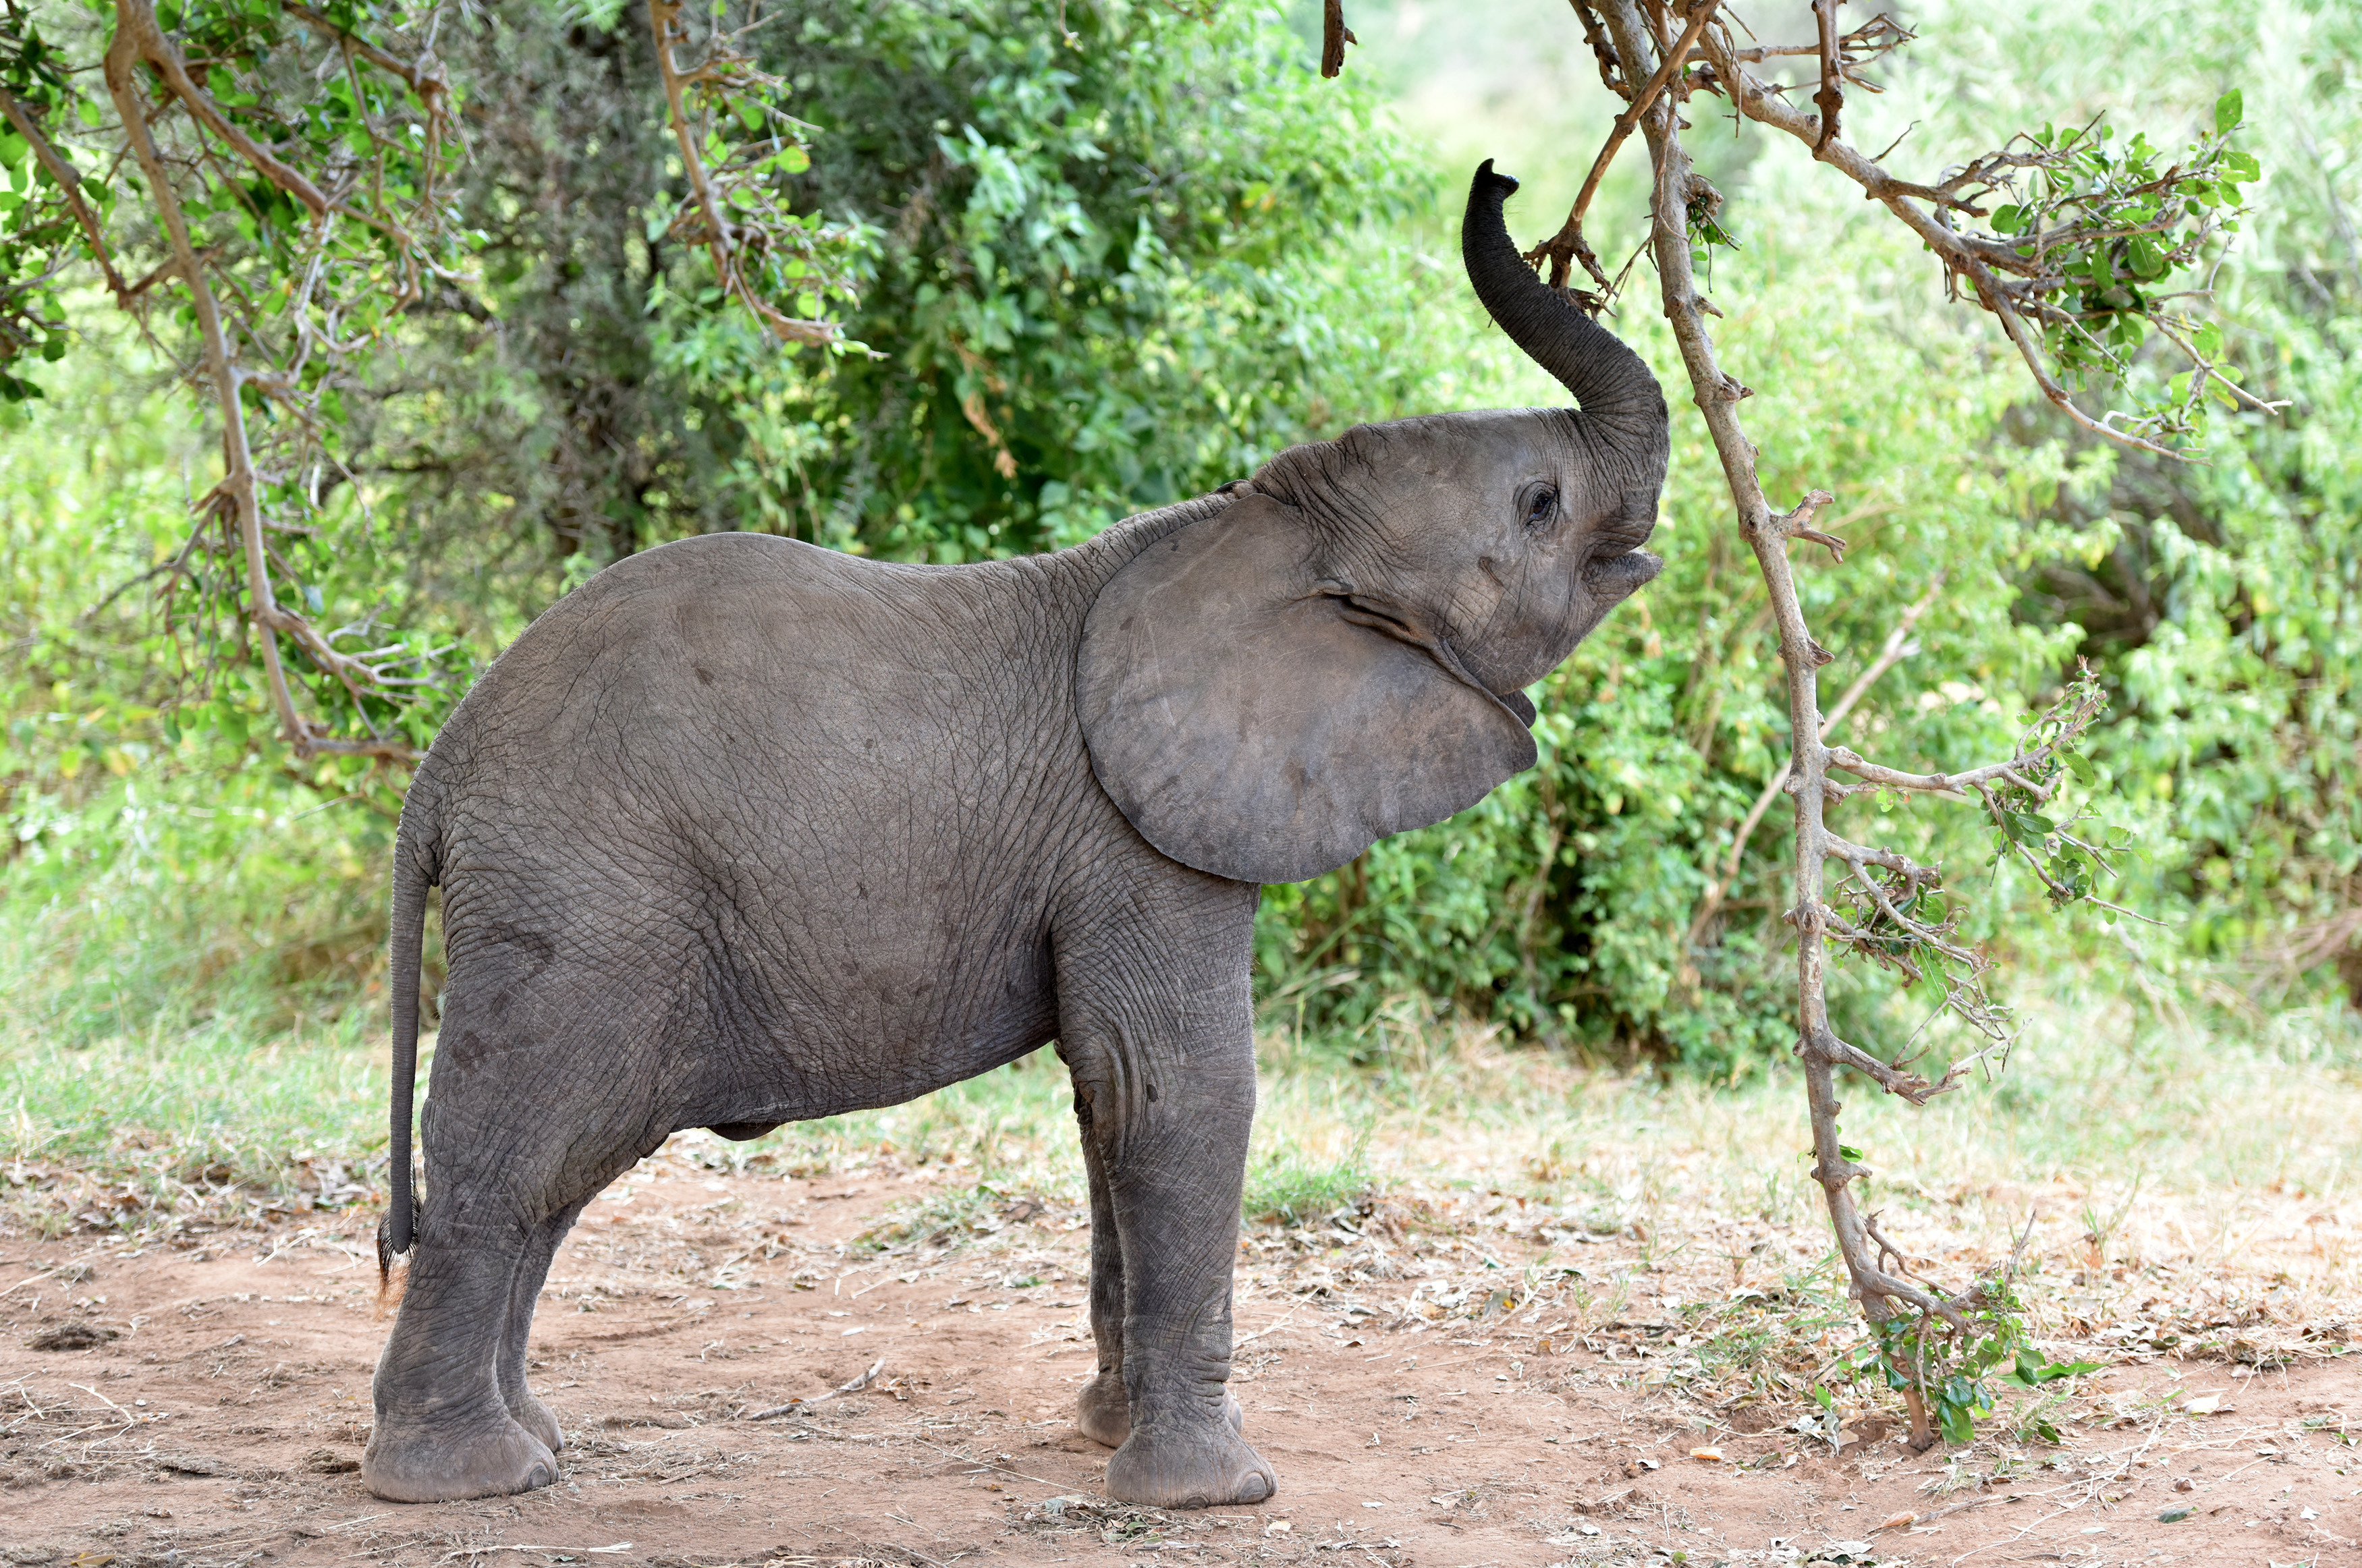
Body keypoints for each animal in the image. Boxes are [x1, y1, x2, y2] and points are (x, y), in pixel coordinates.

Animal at [362, 161, 1670, 1511]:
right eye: (1539, 505)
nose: (1500, 178)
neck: (1257, 524)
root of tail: (441, 771)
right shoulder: (1138, 833)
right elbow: (1179, 1088)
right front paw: (1213, 1494)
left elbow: (1110, 1097)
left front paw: (1107, 1434)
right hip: (587, 902)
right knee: (522, 1153)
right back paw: (466, 1477)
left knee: (551, 1177)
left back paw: (533, 1443)